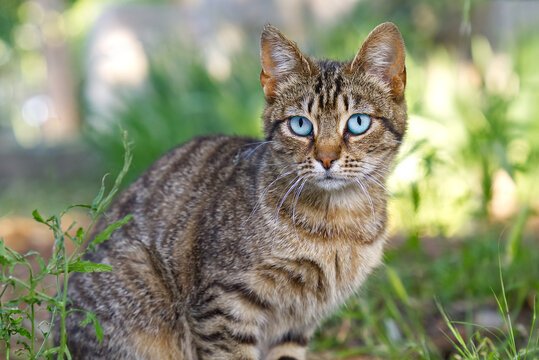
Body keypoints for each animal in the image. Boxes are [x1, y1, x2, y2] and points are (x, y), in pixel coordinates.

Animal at [61, 21, 408, 358]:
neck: (338, 223)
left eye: (358, 122)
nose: (326, 158)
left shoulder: (297, 323)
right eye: (300, 125)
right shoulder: (225, 304)